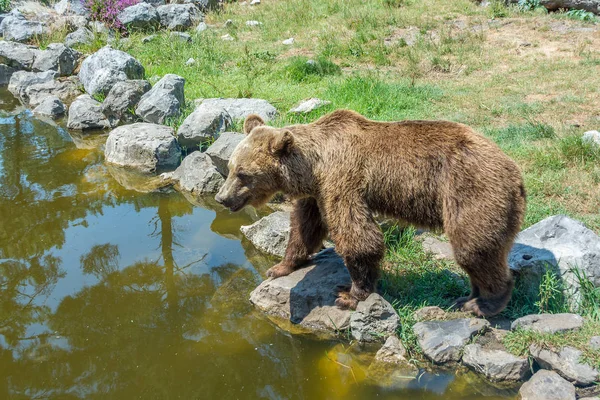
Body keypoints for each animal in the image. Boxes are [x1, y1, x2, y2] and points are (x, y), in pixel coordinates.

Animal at [216, 109, 524, 316]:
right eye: (230, 167)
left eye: (243, 174)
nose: (222, 197)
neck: (313, 167)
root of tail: (516, 172)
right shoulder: (316, 194)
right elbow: (304, 228)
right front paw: (280, 267)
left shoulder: (342, 180)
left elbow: (357, 235)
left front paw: (349, 293)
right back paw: (468, 297)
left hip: (471, 189)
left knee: (473, 247)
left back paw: (482, 303)